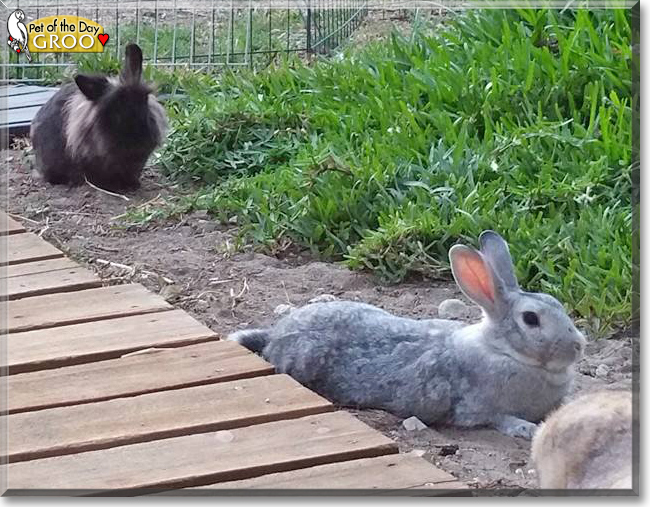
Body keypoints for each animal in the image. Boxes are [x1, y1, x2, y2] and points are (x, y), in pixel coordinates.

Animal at [230, 232, 584, 438]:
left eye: (556, 303)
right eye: (531, 319)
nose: (578, 346)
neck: (504, 350)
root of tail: (275, 337)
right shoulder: (478, 408)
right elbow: (498, 419)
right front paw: (526, 428)